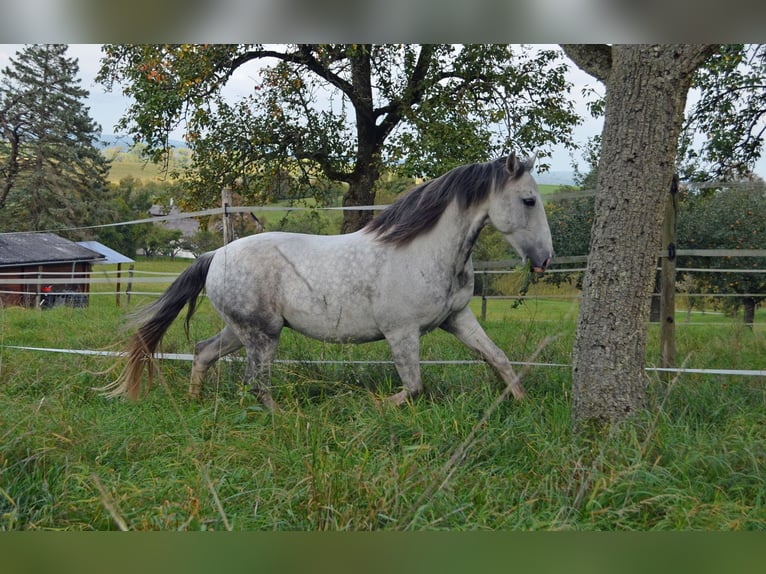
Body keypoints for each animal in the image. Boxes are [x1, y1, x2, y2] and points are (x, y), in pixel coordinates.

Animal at [102, 153, 553, 409]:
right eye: (529, 200)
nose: (544, 260)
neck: (426, 251)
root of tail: (214, 256)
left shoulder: (457, 318)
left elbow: (498, 359)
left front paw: (522, 403)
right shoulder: (402, 332)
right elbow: (414, 387)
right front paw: (376, 406)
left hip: (243, 330)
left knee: (203, 352)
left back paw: (194, 403)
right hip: (262, 334)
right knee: (255, 382)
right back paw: (280, 418)